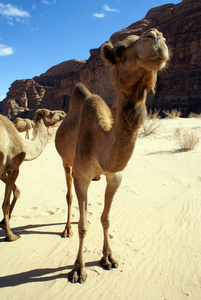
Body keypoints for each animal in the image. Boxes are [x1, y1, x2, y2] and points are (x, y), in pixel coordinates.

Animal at [0, 108, 65, 241]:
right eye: (51, 113)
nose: (63, 113)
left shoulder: (3, 172)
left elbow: (17, 191)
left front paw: (2, 223)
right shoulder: (14, 168)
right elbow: (6, 203)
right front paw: (11, 235)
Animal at [55, 27, 170, 282]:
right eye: (119, 51)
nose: (156, 37)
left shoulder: (115, 176)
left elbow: (105, 219)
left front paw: (108, 258)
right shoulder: (82, 176)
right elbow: (83, 225)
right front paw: (78, 269)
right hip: (66, 163)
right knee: (68, 196)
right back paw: (66, 229)